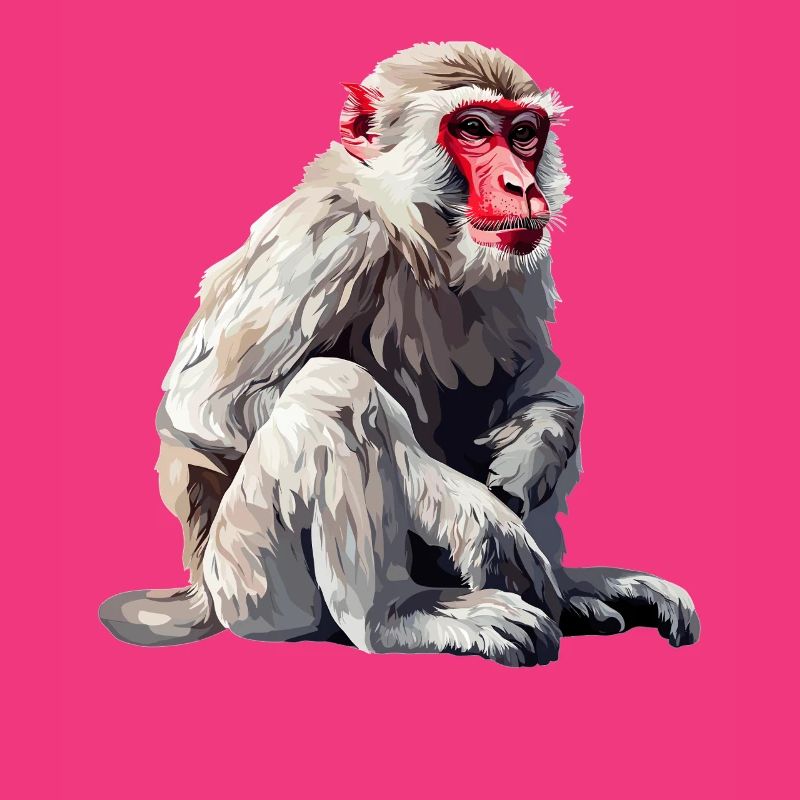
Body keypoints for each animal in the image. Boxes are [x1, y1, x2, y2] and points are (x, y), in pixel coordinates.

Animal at [99, 42, 699, 666]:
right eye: (473, 129)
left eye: (524, 134)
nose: (520, 185)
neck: (417, 231)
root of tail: (202, 594)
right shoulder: (332, 234)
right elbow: (207, 410)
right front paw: (469, 510)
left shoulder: (520, 260)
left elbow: (539, 383)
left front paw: (535, 447)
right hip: (250, 585)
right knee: (333, 392)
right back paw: (398, 617)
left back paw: (571, 590)